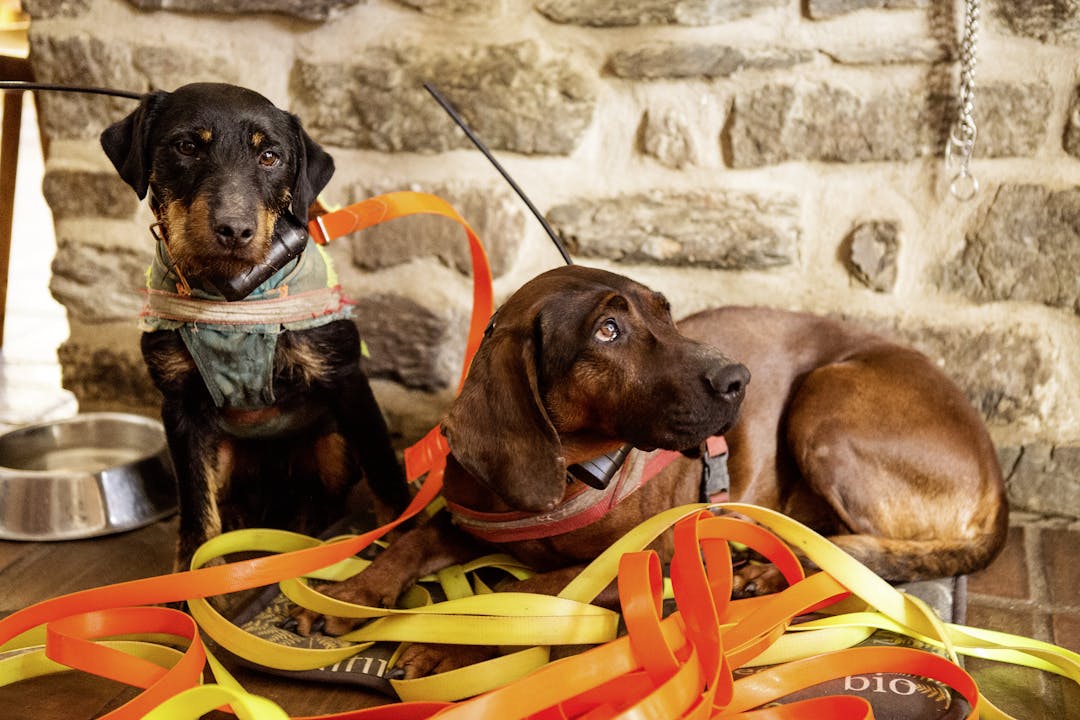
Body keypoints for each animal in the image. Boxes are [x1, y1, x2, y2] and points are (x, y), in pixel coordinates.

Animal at [102, 83, 408, 569]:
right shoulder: (179, 408)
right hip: (224, 455)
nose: (234, 229)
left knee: (324, 495)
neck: (234, 300)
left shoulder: (346, 380)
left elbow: (384, 471)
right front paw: (193, 579)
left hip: (333, 443)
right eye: (186, 147)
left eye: (270, 156)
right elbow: (196, 510)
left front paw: (402, 537)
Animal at [291, 262, 1006, 677]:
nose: (739, 380)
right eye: (607, 330)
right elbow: (409, 543)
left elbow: (524, 592)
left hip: (825, 398)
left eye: (666, 312)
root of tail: (995, 479)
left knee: (856, 549)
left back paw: (768, 569)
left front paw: (450, 640)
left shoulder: (643, 560)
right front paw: (354, 592)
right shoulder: (473, 518)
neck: (571, 473)